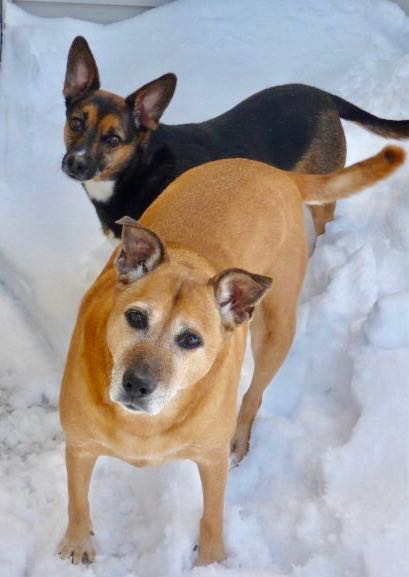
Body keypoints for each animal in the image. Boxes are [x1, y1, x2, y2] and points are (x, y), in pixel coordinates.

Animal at [59, 146, 404, 564]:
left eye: (191, 339)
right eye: (136, 317)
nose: (137, 385)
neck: (147, 425)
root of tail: (276, 173)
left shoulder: (211, 459)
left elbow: (213, 514)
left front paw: (210, 561)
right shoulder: (79, 445)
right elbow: (78, 499)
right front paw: (77, 542)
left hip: (276, 330)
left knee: (255, 393)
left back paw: (241, 438)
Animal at [62, 37, 408, 235]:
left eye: (114, 139)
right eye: (77, 123)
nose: (75, 164)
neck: (136, 172)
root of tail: (325, 96)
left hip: (323, 190)